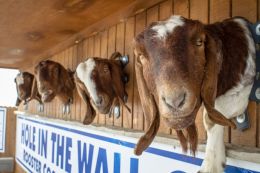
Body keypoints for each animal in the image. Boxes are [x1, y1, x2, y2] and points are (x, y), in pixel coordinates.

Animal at [135, 15, 255, 172]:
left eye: (199, 42)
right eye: (141, 55)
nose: (175, 101)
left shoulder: (242, 89)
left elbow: (211, 117)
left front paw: (210, 165)